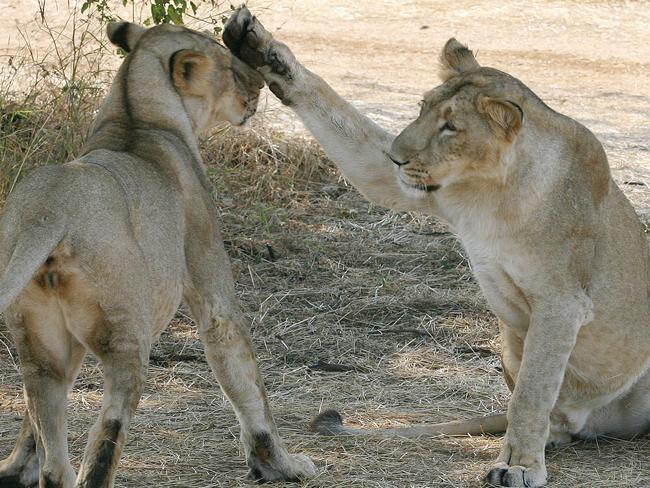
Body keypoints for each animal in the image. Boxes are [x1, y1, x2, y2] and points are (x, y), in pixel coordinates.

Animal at [0, 21, 314, 486]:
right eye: (228, 64)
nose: (258, 84)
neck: (136, 115)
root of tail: (49, 210)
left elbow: (31, 427)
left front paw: (18, 467)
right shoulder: (212, 287)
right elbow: (245, 379)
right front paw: (280, 464)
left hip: (40, 348)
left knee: (54, 455)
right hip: (128, 334)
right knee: (108, 431)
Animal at [223, 8, 648, 488]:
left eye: (451, 127)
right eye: (422, 109)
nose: (397, 155)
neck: (493, 191)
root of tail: (592, 422)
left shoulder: (563, 301)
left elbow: (532, 393)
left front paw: (519, 465)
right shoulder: (411, 186)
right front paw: (263, 51)